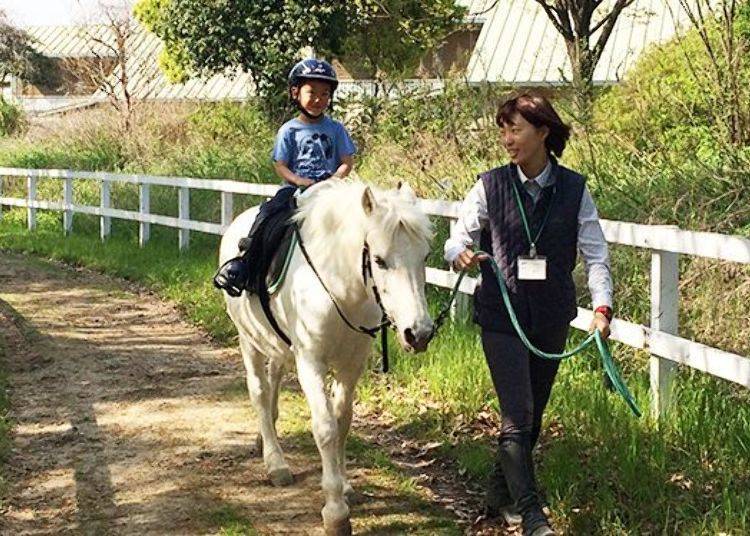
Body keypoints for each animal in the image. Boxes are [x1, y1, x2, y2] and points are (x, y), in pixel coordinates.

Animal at [219, 179, 434, 532]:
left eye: (425, 256)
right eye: (379, 260)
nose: (419, 333)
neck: (340, 286)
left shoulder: (351, 364)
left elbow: (343, 421)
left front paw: (345, 486)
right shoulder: (311, 363)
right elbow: (325, 428)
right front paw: (335, 511)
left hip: (277, 345)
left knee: (274, 380)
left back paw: (265, 438)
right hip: (248, 339)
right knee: (260, 392)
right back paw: (275, 464)